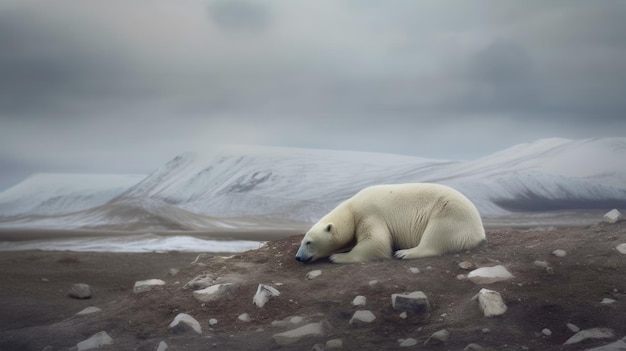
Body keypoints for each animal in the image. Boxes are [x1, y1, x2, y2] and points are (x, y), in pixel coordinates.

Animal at [294, 184, 486, 264]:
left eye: (308, 242)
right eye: (302, 241)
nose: (298, 257)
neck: (351, 208)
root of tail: (479, 229)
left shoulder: (370, 213)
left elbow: (375, 241)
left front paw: (338, 257)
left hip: (449, 212)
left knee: (436, 235)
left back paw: (405, 253)